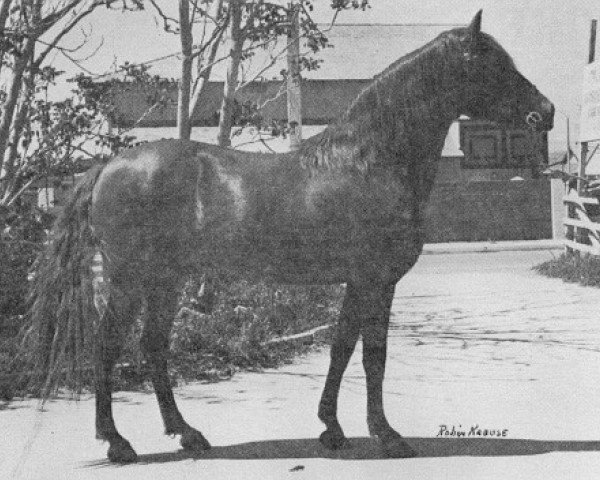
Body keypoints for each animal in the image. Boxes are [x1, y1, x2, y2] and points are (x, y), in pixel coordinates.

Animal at [28, 11, 552, 462]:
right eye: (491, 64)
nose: (544, 113)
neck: (371, 159)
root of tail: (107, 166)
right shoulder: (376, 280)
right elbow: (373, 356)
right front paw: (386, 436)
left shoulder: (359, 282)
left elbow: (342, 348)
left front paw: (333, 430)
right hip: (129, 279)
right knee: (106, 346)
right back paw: (118, 444)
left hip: (165, 281)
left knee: (153, 346)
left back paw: (189, 434)